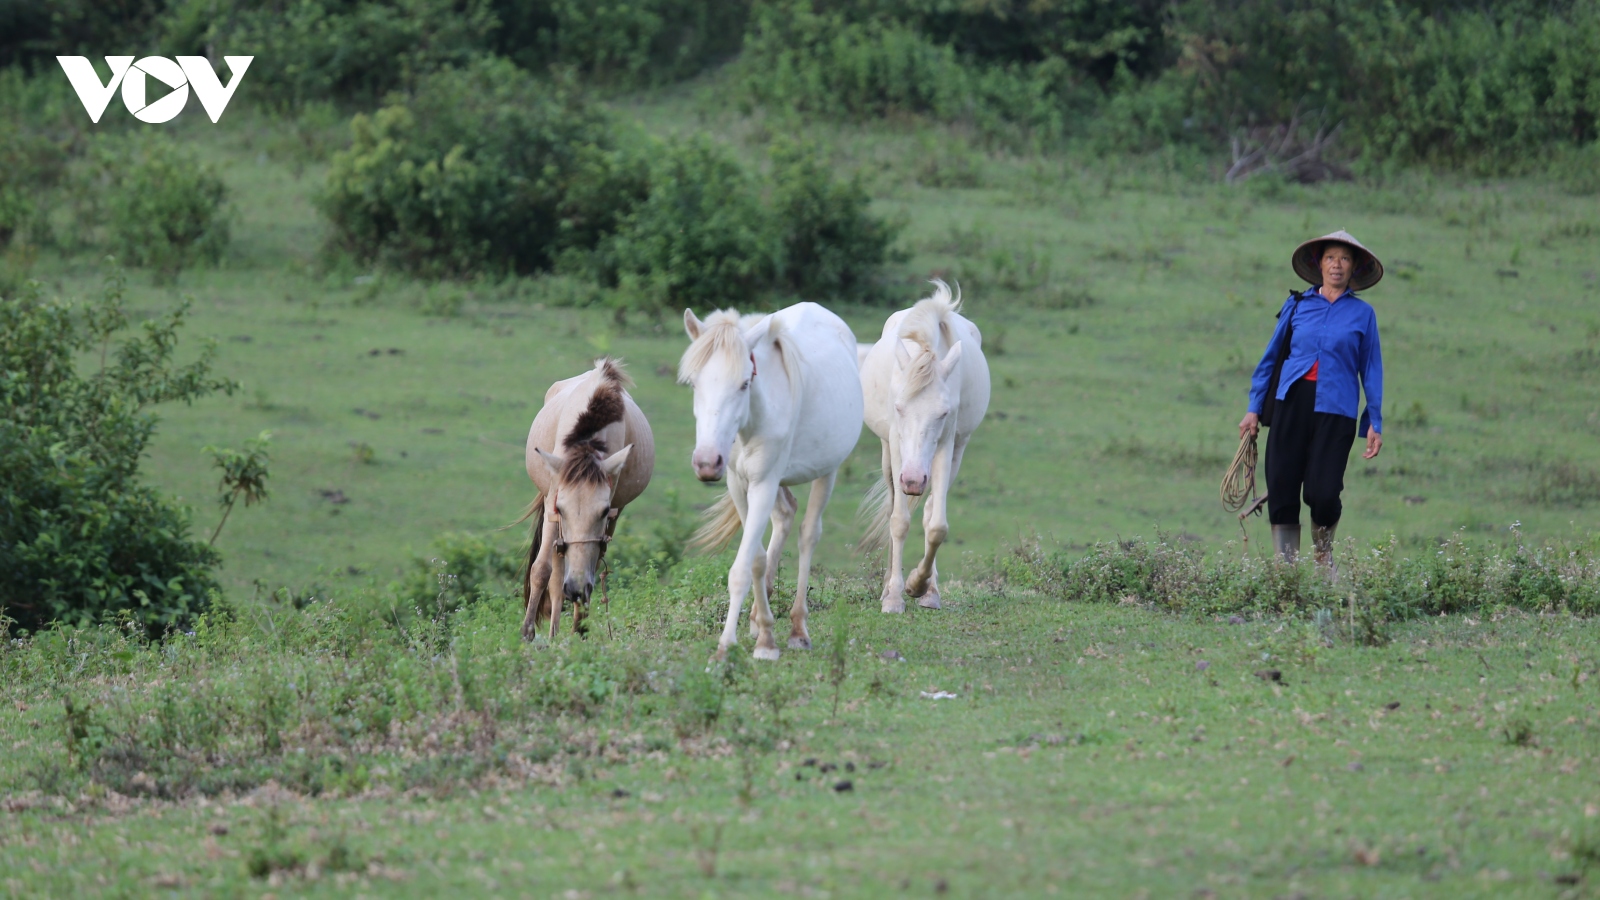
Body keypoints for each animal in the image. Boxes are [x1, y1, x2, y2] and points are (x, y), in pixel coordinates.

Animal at [521, 355, 652, 637]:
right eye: (561, 508)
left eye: (602, 511)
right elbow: (541, 569)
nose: (576, 589)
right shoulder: (552, 504)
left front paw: (580, 627)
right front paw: (527, 633)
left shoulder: (611, 512)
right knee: (556, 574)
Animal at [684, 301, 870, 659]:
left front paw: (727, 646)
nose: (707, 462)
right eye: (694, 384)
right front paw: (764, 635)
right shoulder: (739, 484)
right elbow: (755, 559)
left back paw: (798, 629)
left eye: (744, 383)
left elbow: (741, 569)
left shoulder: (763, 484)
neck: (753, 418)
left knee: (808, 535)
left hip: (827, 472)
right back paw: (759, 620)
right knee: (785, 516)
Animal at [864, 278, 985, 608]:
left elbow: (937, 526)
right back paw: (888, 585)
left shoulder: (946, 446)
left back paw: (930, 588)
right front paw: (894, 596)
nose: (914, 479)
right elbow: (898, 521)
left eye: (943, 412)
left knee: (931, 509)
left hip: (955, 454)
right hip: (887, 457)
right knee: (894, 506)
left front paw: (920, 586)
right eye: (898, 407)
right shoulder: (895, 447)